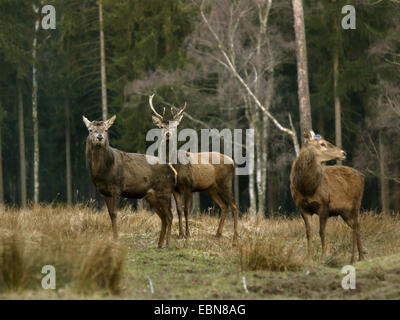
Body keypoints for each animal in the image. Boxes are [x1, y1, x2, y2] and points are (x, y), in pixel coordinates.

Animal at [82, 115, 175, 248]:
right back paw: (159, 244)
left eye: (106, 130)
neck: (103, 173)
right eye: (90, 130)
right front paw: (114, 239)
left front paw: (116, 239)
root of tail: (172, 171)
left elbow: (115, 213)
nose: (99, 137)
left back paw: (167, 244)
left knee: (170, 216)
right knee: (163, 217)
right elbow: (110, 214)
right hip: (152, 196)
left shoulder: (117, 187)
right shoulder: (104, 192)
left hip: (165, 191)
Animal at [290, 130, 366, 262]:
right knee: (355, 226)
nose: (343, 152)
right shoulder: (302, 207)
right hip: (344, 212)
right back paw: (357, 257)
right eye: (322, 143)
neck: (306, 188)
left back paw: (357, 257)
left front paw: (323, 257)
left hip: (356, 204)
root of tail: (363, 177)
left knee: (356, 226)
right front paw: (309, 257)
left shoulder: (324, 204)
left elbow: (322, 231)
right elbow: (308, 232)